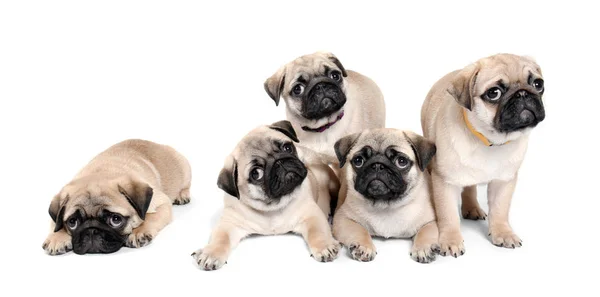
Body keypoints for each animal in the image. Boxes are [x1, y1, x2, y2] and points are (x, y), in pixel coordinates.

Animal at [42, 139, 191, 254]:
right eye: (72, 222)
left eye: (115, 220)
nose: (91, 231)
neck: (101, 173)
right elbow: (56, 224)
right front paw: (57, 238)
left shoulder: (162, 204)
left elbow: (149, 218)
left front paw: (139, 232)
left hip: (185, 169)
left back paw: (182, 195)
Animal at [195, 121, 340, 270]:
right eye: (256, 173)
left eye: (287, 148)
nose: (279, 162)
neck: (273, 208)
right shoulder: (228, 224)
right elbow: (220, 239)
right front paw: (211, 253)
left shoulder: (312, 215)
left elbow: (318, 232)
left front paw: (324, 246)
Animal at [330, 128, 438, 262]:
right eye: (358, 161)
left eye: (401, 161)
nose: (377, 165)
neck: (384, 206)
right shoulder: (342, 219)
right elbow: (359, 231)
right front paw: (364, 246)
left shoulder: (431, 222)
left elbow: (425, 232)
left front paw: (423, 248)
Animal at [420, 52, 548, 254]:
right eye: (494, 93)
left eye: (538, 84)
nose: (522, 93)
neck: (491, 141)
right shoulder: (445, 183)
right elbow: (448, 215)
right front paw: (450, 240)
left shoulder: (504, 182)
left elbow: (500, 210)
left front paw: (503, 233)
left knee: (470, 188)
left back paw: (472, 208)